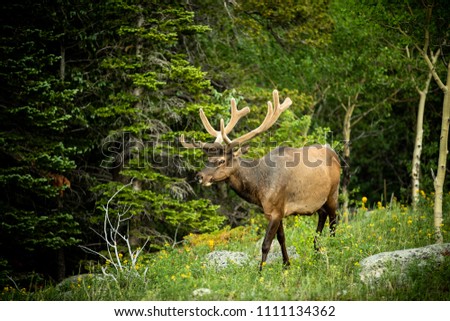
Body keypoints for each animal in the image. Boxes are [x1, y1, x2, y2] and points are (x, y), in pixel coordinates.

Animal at [181, 89, 340, 268]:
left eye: (221, 161)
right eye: (207, 159)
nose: (199, 176)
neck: (259, 188)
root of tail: (335, 154)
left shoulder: (276, 210)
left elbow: (266, 244)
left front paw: (261, 271)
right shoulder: (275, 210)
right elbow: (281, 238)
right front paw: (286, 264)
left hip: (333, 193)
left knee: (334, 222)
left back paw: (333, 249)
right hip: (318, 201)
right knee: (323, 216)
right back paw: (316, 251)